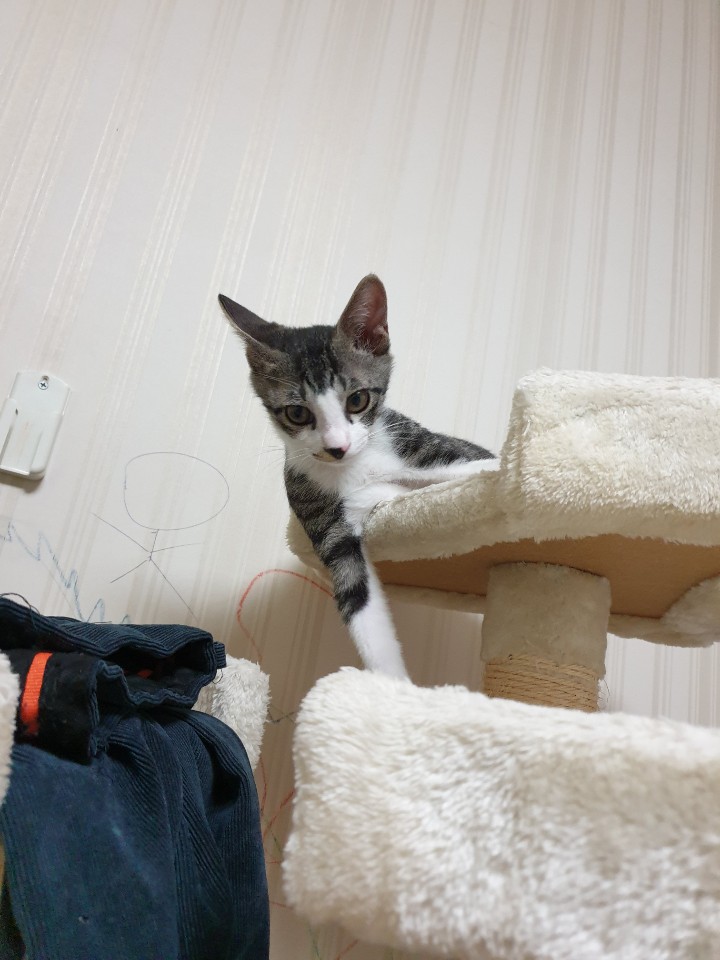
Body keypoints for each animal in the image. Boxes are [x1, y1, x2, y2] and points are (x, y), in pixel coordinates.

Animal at [219, 275, 496, 679]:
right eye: (297, 413)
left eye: (357, 399)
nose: (337, 447)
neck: (356, 467)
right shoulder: (320, 516)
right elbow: (356, 595)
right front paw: (393, 685)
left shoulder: (427, 447)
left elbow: (484, 464)